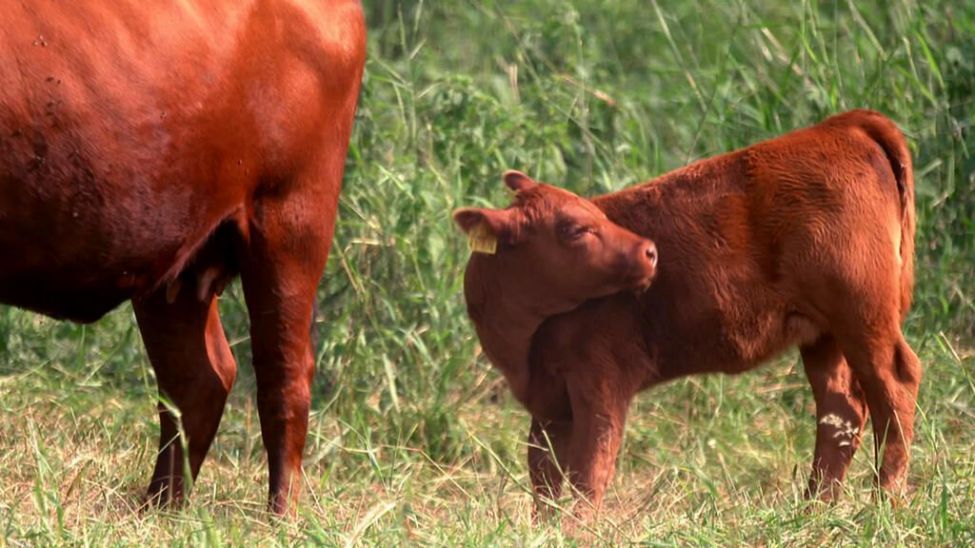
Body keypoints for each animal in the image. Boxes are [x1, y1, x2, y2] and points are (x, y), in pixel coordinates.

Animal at [0, 1, 366, 512]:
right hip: (176, 260)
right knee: (199, 378)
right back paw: (159, 508)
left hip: (292, 221)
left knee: (283, 376)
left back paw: (280, 515)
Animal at [454, 110, 920, 512]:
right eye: (574, 228)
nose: (649, 251)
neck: (525, 339)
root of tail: (843, 124)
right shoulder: (547, 405)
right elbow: (544, 479)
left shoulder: (601, 386)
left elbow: (590, 472)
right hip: (824, 334)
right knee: (840, 413)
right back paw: (813, 509)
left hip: (863, 318)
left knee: (896, 388)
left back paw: (884, 504)